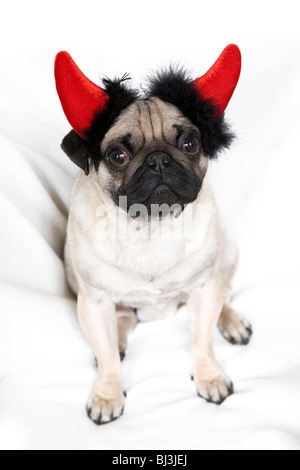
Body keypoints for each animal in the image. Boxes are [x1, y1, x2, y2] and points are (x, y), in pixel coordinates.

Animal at [55, 45, 252, 426]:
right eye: (117, 155)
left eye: (190, 143)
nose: (159, 160)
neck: (150, 226)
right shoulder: (93, 302)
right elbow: (107, 359)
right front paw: (107, 395)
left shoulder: (203, 289)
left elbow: (202, 341)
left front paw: (210, 378)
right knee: (121, 321)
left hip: (229, 253)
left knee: (224, 292)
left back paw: (231, 321)